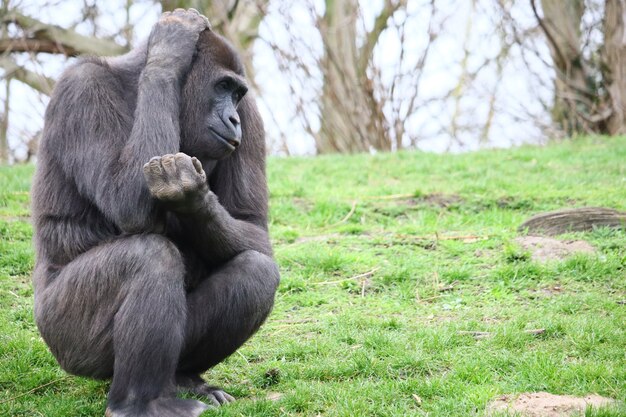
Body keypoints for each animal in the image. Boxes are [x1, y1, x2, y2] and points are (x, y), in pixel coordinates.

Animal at [30, 9, 280, 416]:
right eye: (222, 86)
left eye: (238, 94)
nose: (233, 120)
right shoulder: (80, 88)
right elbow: (125, 200)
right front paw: (167, 55)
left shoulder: (252, 115)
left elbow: (254, 230)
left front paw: (193, 198)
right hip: (65, 341)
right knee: (148, 256)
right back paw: (137, 401)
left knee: (255, 271)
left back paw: (182, 378)